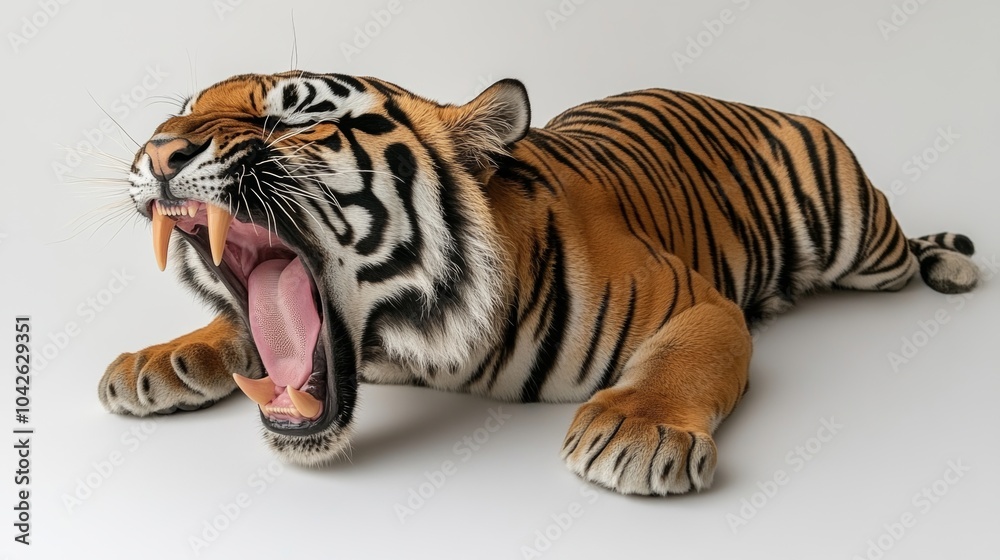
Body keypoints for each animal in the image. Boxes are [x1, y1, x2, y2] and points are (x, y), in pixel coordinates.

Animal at [99, 71, 979, 496]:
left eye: (294, 115)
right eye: (180, 111)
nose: (160, 149)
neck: (415, 342)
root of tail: (758, 104)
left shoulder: (699, 302)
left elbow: (684, 363)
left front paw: (637, 432)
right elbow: (236, 327)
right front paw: (159, 360)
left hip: (862, 241)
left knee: (905, 249)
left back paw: (954, 261)